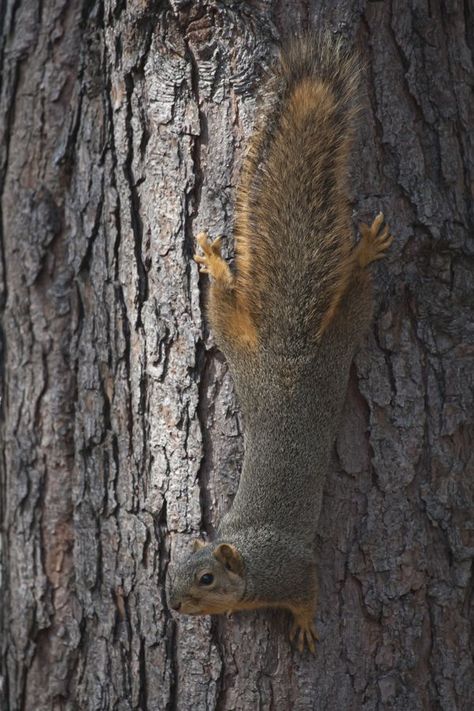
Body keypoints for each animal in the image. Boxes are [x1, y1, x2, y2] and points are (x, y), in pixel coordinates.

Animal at [167, 34, 392, 656]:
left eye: (205, 578)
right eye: (170, 571)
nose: (173, 604)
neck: (250, 563)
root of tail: (288, 353)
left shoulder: (293, 570)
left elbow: (310, 592)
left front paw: (307, 626)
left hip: (335, 344)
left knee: (354, 299)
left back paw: (362, 253)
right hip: (239, 343)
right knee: (226, 304)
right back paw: (217, 262)